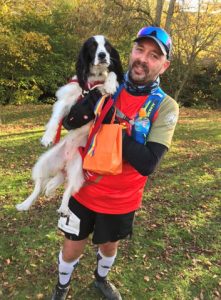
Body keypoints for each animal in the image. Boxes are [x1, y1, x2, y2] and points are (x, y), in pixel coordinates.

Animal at [16, 35, 123, 216]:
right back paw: (25, 204)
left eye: (107, 47)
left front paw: (109, 83)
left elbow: (112, 72)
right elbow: (55, 118)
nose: (102, 55)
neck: (92, 80)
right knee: (38, 186)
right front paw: (47, 136)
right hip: (45, 162)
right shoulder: (66, 99)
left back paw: (64, 208)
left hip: (77, 171)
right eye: (93, 46)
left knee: (68, 189)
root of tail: (65, 164)